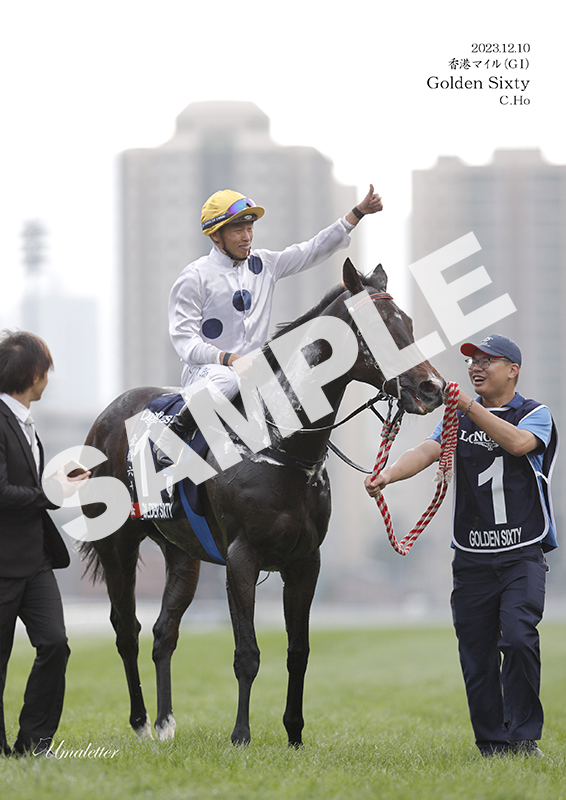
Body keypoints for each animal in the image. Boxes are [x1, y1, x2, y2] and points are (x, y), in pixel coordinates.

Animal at [79, 258, 444, 747]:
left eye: (407, 323)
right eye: (377, 325)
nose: (432, 388)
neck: (281, 444)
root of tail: (107, 415)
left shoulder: (305, 561)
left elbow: (298, 651)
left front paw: (294, 735)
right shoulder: (242, 558)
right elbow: (247, 653)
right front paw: (241, 735)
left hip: (182, 553)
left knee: (163, 632)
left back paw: (164, 722)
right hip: (118, 544)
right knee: (126, 630)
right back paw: (140, 722)